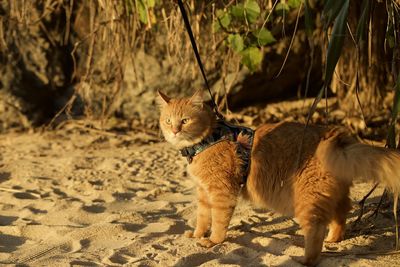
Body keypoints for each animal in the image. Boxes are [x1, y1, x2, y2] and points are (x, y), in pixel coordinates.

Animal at [156, 89, 400, 266]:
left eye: (184, 120)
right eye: (168, 121)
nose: (175, 131)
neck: (207, 141)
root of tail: (335, 138)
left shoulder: (221, 192)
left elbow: (218, 222)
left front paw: (213, 241)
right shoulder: (204, 193)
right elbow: (202, 218)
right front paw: (197, 235)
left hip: (308, 202)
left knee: (316, 232)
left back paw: (305, 259)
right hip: (334, 196)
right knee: (340, 217)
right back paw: (334, 239)